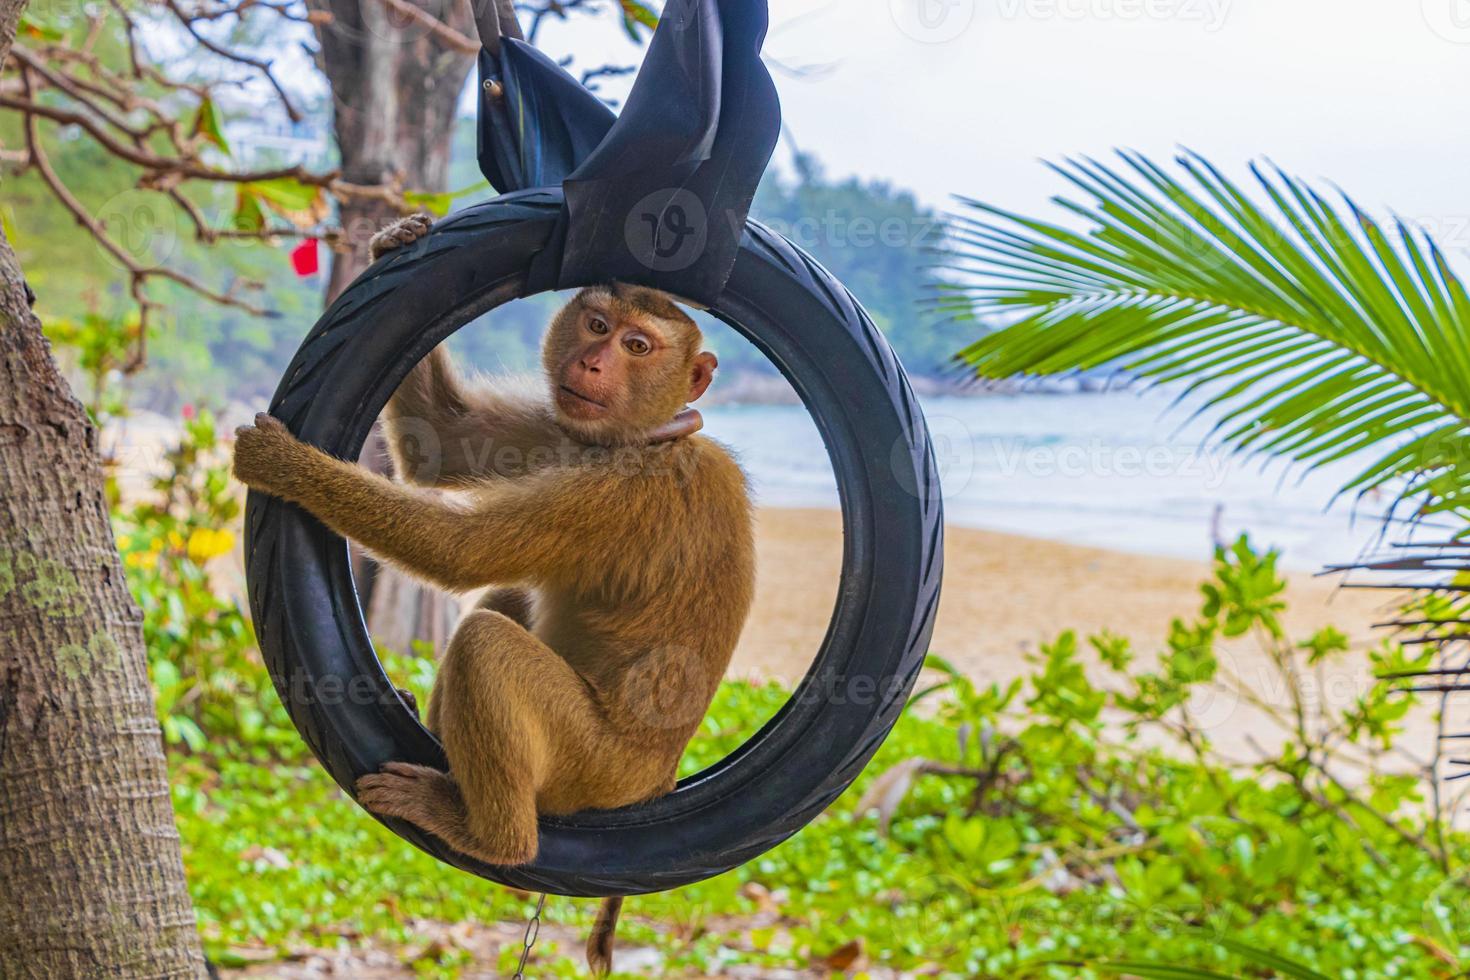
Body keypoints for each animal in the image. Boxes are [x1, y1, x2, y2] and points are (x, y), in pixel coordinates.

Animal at [235, 215, 758, 975]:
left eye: (637, 347)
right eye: (597, 324)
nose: (592, 365)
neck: (643, 437)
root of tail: (656, 778)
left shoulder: (616, 494)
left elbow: (458, 551)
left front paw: (286, 465)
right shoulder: (561, 428)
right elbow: (443, 442)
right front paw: (396, 242)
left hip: (592, 769)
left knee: (487, 643)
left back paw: (490, 838)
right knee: (502, 605)